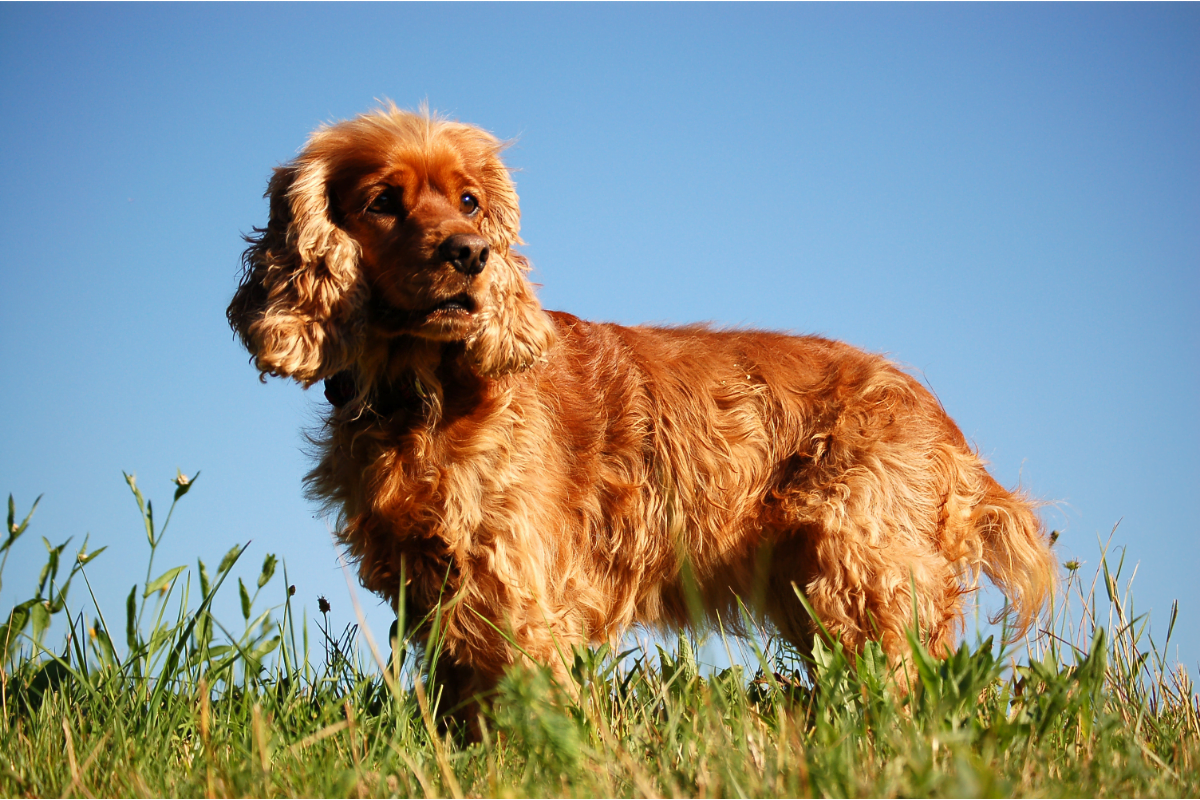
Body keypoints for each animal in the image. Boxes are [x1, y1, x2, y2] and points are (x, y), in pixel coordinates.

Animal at [225, 104, 1051, 719]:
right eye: (382, 202)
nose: (470, 254)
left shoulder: (516, 580)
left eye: (469, 202)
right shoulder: (437, 584)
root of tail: (942, 419)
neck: (423, 392)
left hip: (865, 570)